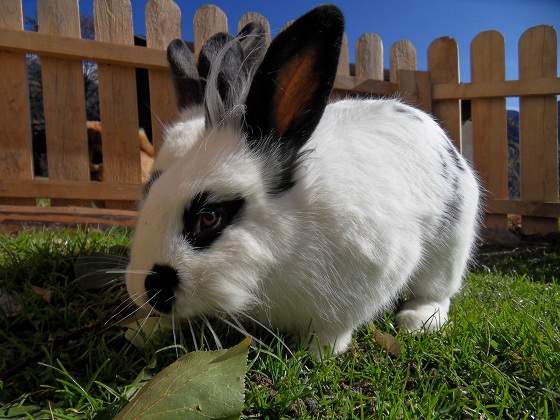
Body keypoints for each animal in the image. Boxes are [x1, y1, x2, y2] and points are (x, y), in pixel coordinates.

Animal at [124, 5, 480, 354]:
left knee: (436, 292)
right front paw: (148, 330)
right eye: (149, 189)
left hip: (449, 250)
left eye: (209, 217)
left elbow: (333, 331)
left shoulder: (371, 275)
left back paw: (418, 320)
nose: (146, 290)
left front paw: (314, 354)